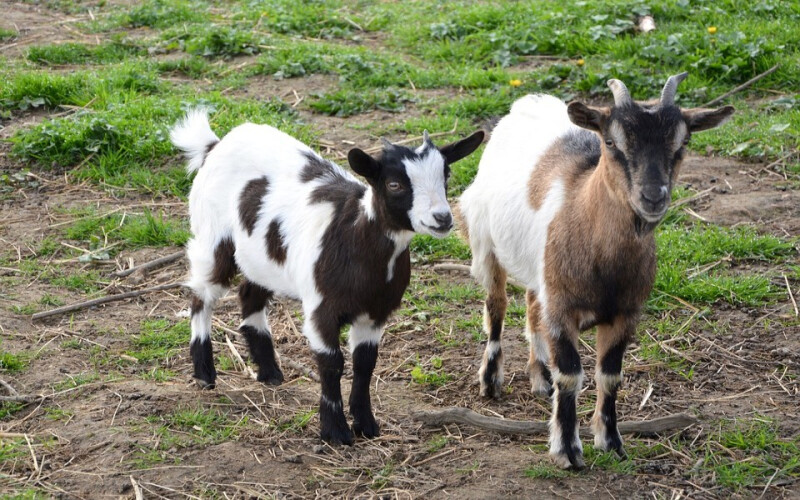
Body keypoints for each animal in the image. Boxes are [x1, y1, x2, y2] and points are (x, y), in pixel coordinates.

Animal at [170, 111, 482, 444]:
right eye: (394, 184)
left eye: (445, 176)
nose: (442, 218)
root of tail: (215, 144)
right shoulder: (322, 308)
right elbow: (332, 363)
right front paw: (336, 431)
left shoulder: (375, 313)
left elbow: (364, 364)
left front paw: (366, 424)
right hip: (212, 237)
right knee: (201, 295)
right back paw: (205, 374)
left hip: (261, 255)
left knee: (249, 294)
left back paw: (269, 372)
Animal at [460, 74, 736, 468]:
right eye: (610, 141)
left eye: (683, 142)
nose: (653, 196)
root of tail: (530, 100)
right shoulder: (562, 310)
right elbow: (571, 376)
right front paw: (567, 450)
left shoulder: (625, 313)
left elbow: (610, 376)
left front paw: (611, 440)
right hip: (485, 240)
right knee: (496, 305)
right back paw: (490, 380)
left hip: (538, 267)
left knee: (531, 305)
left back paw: (540, 377)